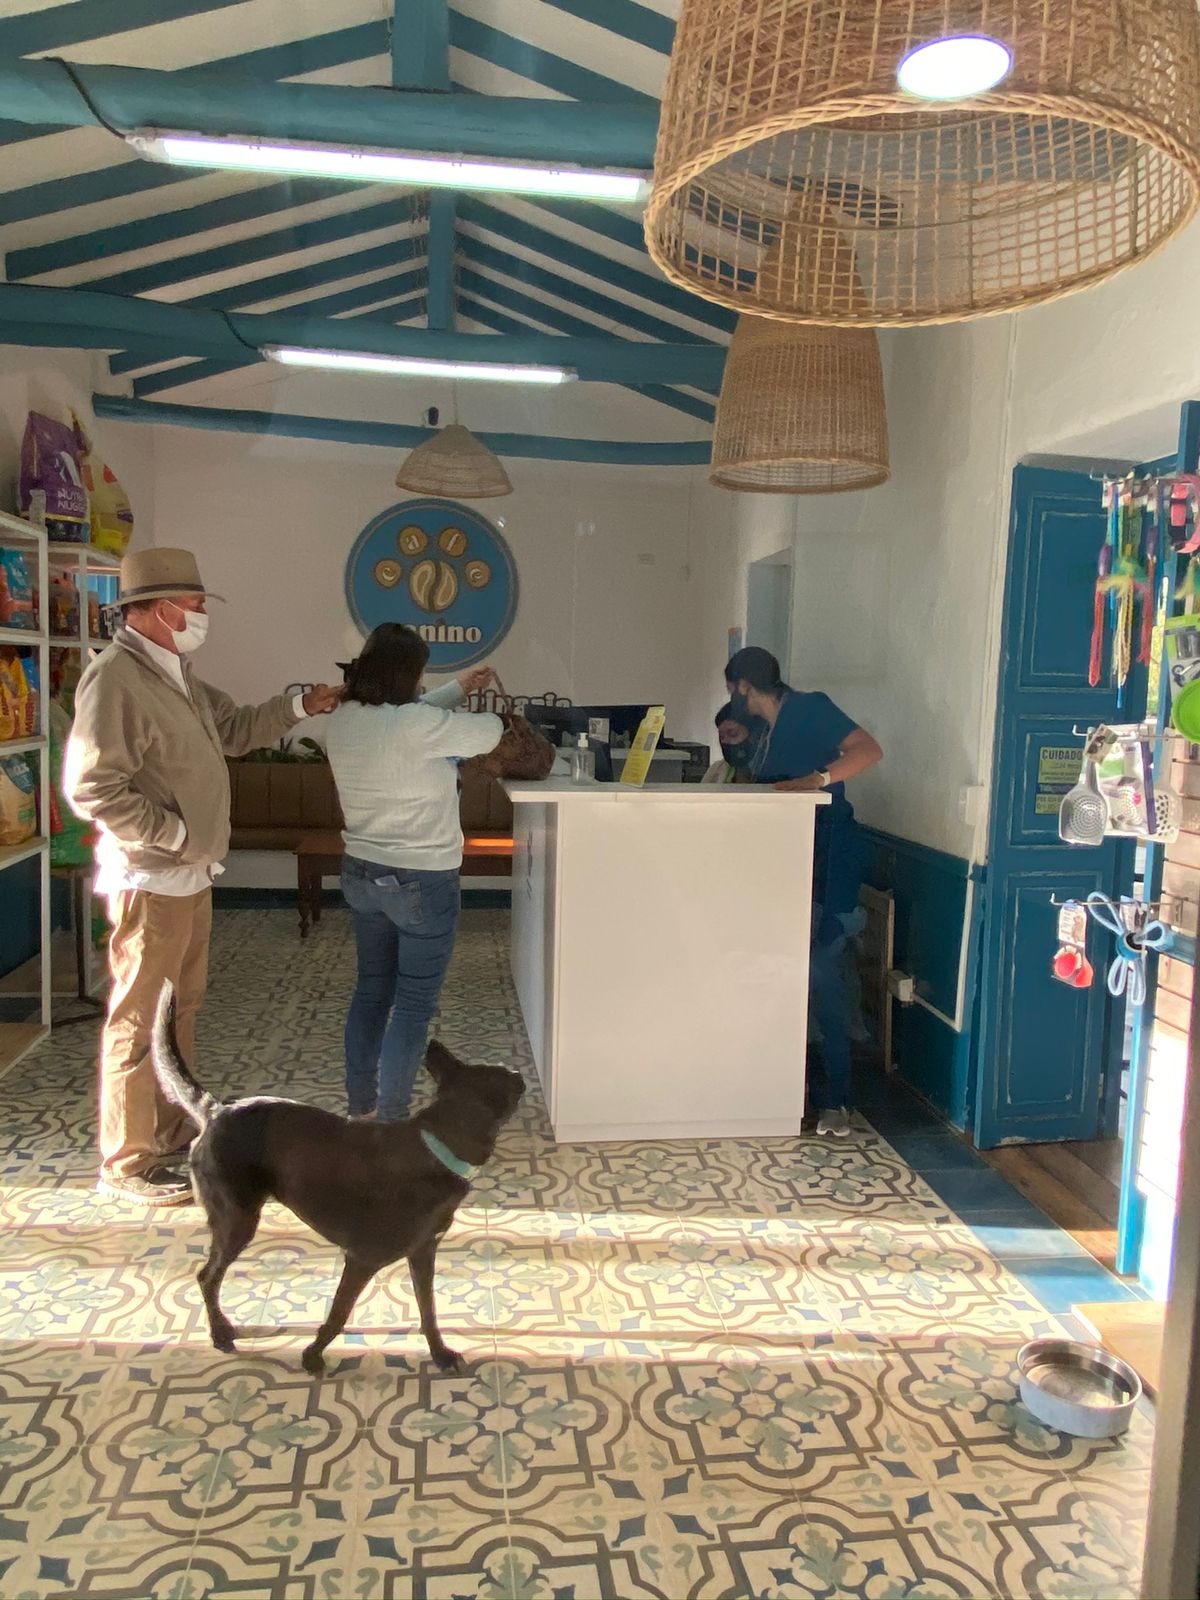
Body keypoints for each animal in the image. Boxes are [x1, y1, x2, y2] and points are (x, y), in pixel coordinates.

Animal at [150, 982, 525, 1375]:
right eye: (502, 1076)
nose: (520, 1074)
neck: (436, 1144)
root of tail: (216, 1110)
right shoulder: (361, 1259)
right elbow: (339, 1314)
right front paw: (313, 1354)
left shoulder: (423, 1252)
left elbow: (429, 1311)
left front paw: (439, 1353)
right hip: (237, 1220)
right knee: (207, 1275)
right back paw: (220, 1332)